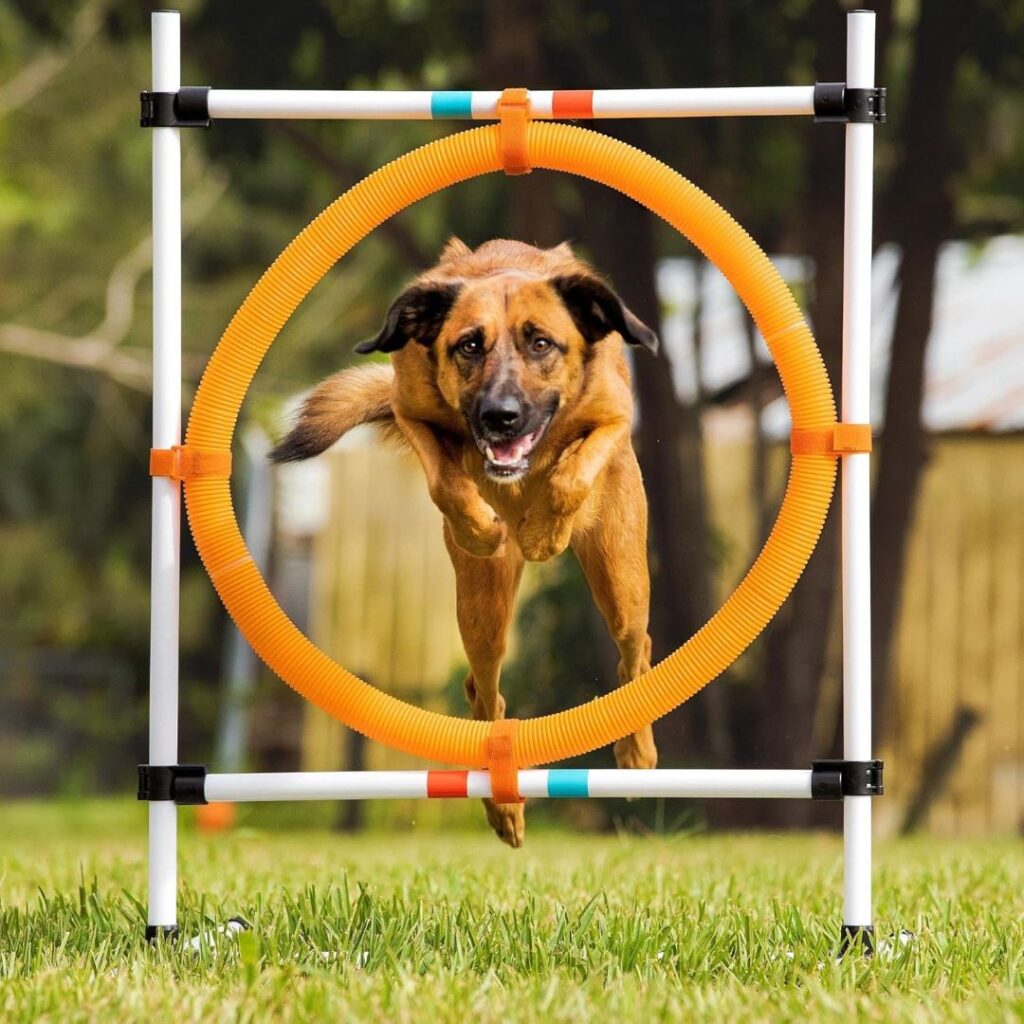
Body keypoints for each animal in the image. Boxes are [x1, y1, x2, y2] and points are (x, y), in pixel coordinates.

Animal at [272, 239, 655, 847]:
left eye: (541, 342)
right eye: (469, 345)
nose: (501, 417)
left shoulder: (613, 415)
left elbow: (572, 473)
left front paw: (545, 531)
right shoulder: (412, 410)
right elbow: (445, 480)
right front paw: (482, 526)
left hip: (622, 581)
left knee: (634, 652)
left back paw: (637, 755)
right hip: (482, 612)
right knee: (485, 692)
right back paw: (504, 803)